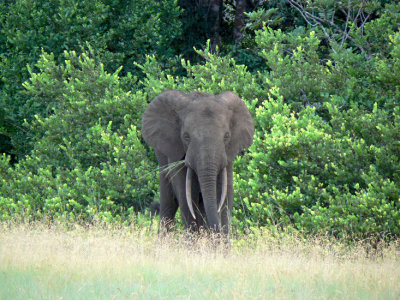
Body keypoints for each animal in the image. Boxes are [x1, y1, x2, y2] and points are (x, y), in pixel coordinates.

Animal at [141, 90, 253, 236]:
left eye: (227, 136)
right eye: (186, 137)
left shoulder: (228, 158)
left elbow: (225, 197)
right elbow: (187, 198)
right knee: (168, 203)